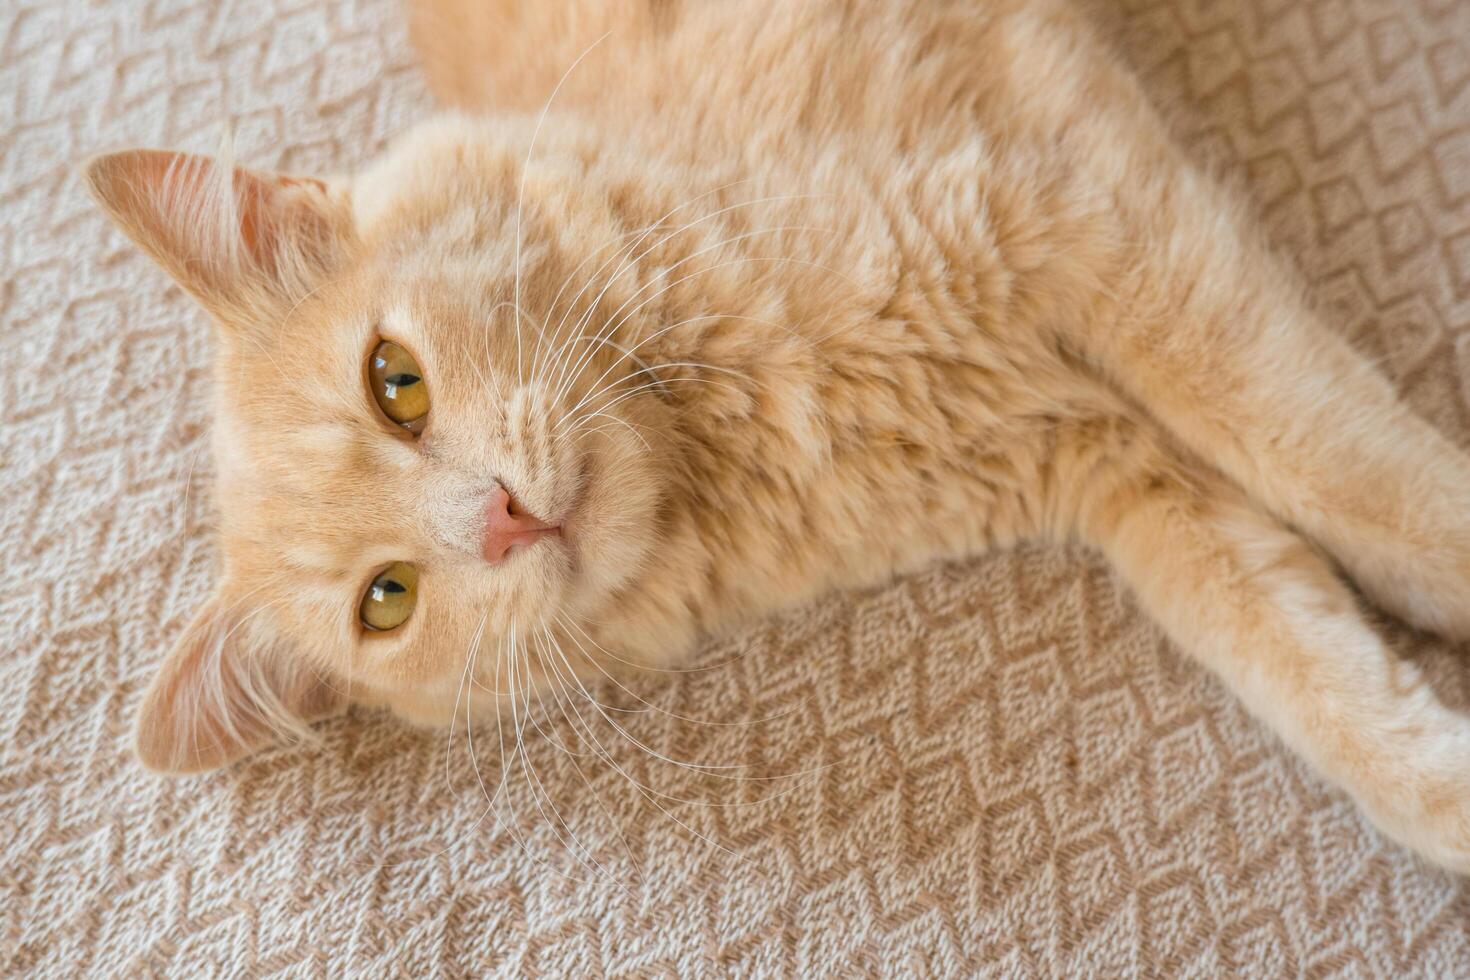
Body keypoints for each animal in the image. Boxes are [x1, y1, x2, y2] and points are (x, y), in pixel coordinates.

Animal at [80, 0, 1470, 875]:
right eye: (388, 598)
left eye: (396, 384)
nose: (505, 518)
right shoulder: (1113, 462)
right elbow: (1317, 671)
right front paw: (1447, 781)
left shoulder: (1097, 219)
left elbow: (1344, 470)